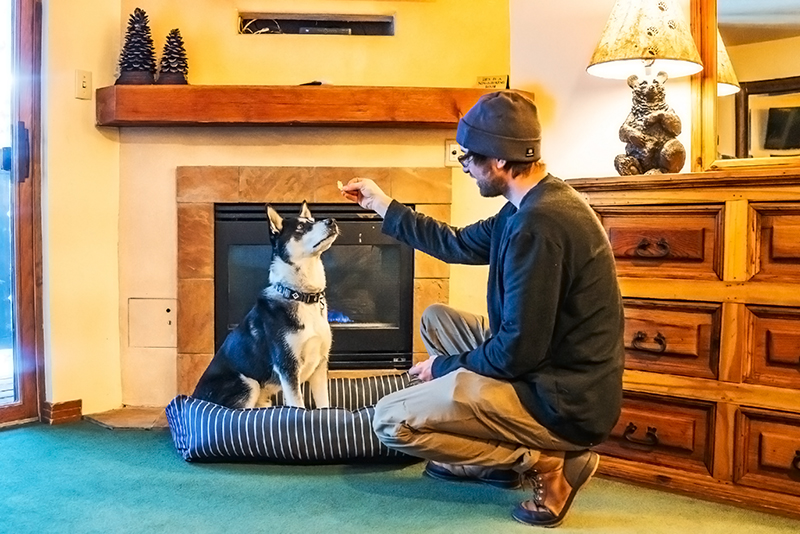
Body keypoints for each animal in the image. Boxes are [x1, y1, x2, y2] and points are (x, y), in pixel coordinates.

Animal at [193, 203, 338, 412]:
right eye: (300, 228)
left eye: (312, 220)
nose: (332, 221)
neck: (299, 295)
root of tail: (194, 398)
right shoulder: (287, 366)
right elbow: (298, 407)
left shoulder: (319, 366)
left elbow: (324, 406)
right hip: (248, 383)